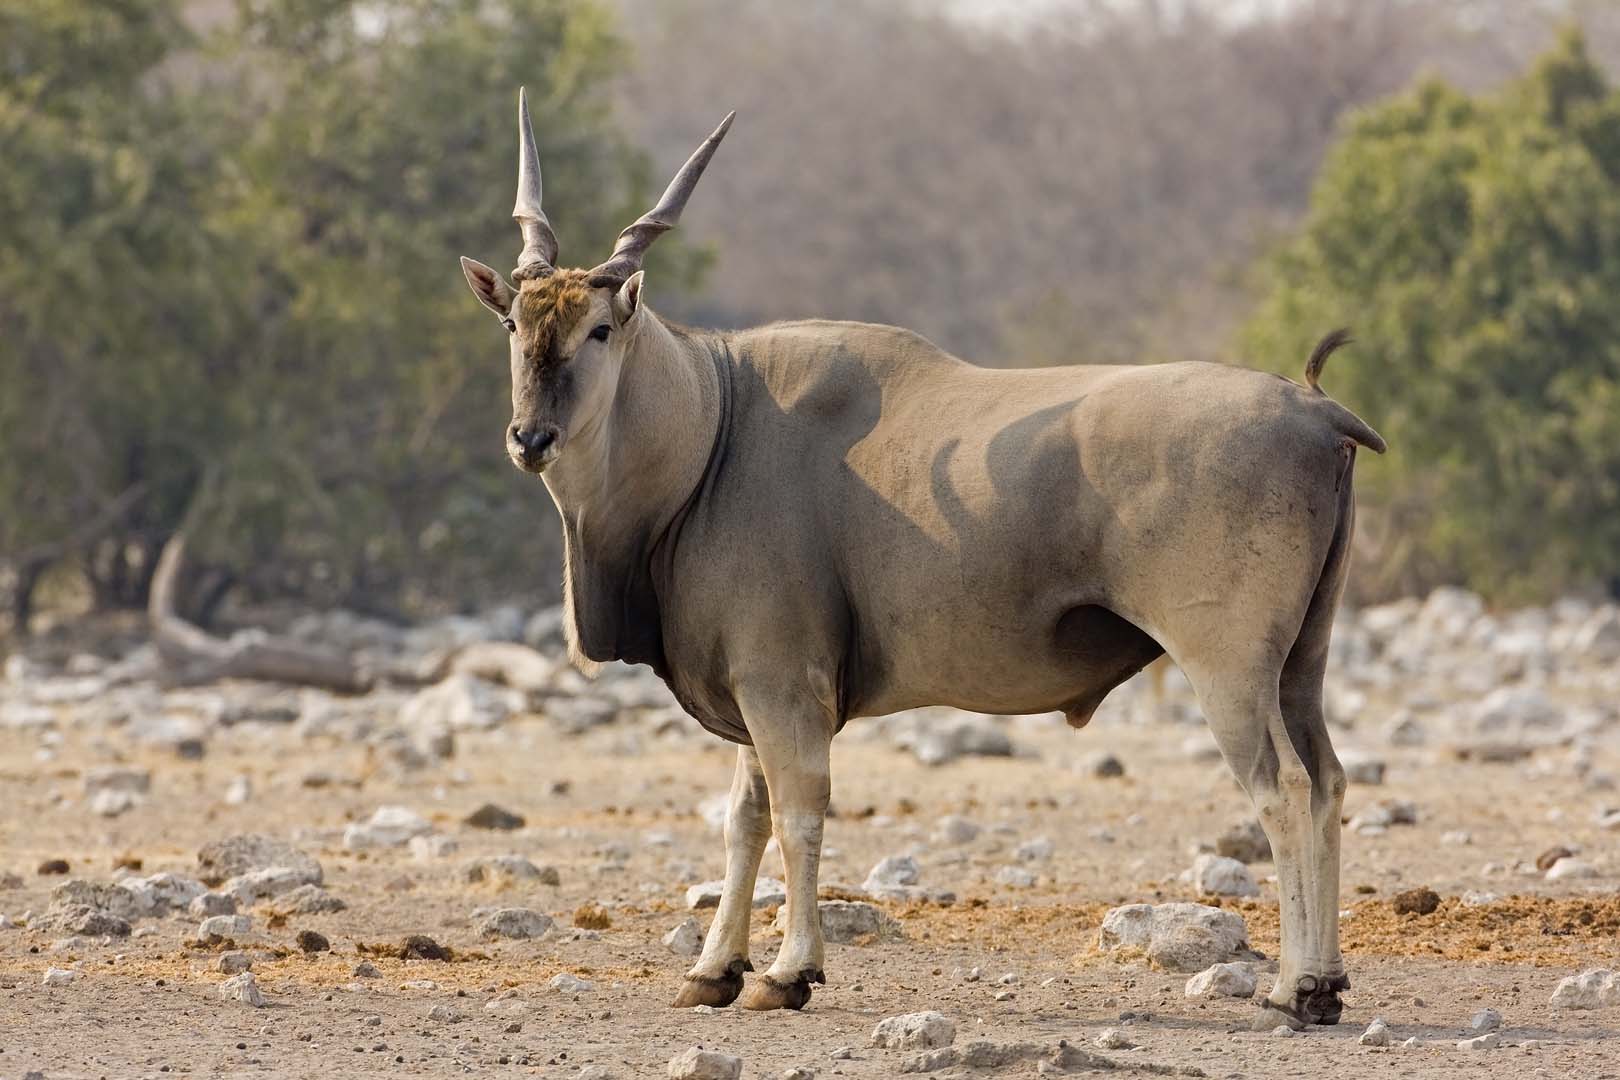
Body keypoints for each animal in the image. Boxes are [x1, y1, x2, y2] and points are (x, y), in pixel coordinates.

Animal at [459, 91, 1385, 1027]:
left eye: (600, 329)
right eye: (513, 324)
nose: (530, 438)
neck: (715, 424)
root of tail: (1316, 409)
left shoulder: (780, 683)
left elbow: (796, 813)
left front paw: (789, 971)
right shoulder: (754, 691)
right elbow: (743, 819)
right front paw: (713, 969)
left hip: (1228, 668)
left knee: (1282, 789)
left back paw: (1293, 988)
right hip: (1300, 664)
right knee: (1330, 780)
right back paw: (1329, 981)